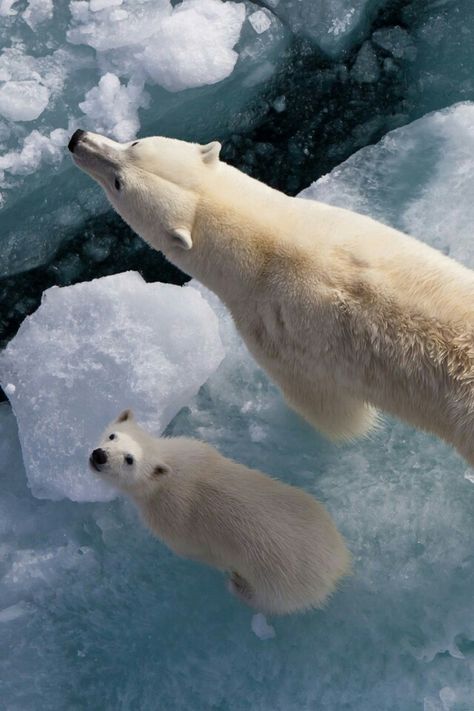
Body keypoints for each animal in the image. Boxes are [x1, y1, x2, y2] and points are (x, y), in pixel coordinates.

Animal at [67, 131, 474, 470]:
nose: (77, 139)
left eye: (119, 182)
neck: (270, 242)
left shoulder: (274, 337)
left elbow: (333, 413)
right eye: (134, 144)